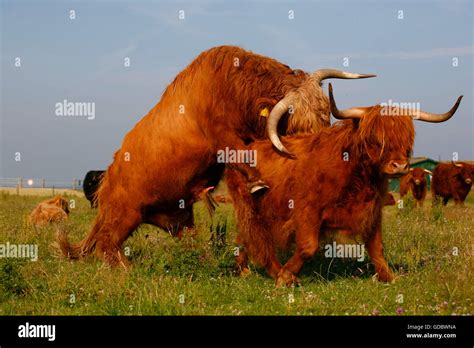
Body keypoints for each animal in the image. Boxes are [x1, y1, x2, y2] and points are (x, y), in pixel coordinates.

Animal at [56, 44, 374, 266]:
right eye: (298, 127)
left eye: (325, 116)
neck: (233, 87)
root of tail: (107, 178)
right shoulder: (225, 139)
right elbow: (245, 159)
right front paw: (258, 184)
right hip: (124, 214)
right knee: (107, 244)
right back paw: (126, 270)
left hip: (176, 217)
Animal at [228, 83, 462, 286]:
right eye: (375, 139)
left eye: (406, 140)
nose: (400, 166)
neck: (356, 176)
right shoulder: (306, 211)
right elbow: (307, 247)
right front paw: (285, 276)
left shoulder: (372, 211)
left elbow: (377, 247)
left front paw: (389, 277)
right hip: (249, 204)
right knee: (253, 236)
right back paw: (266, 270)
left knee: (246, 236)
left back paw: (245, 269)